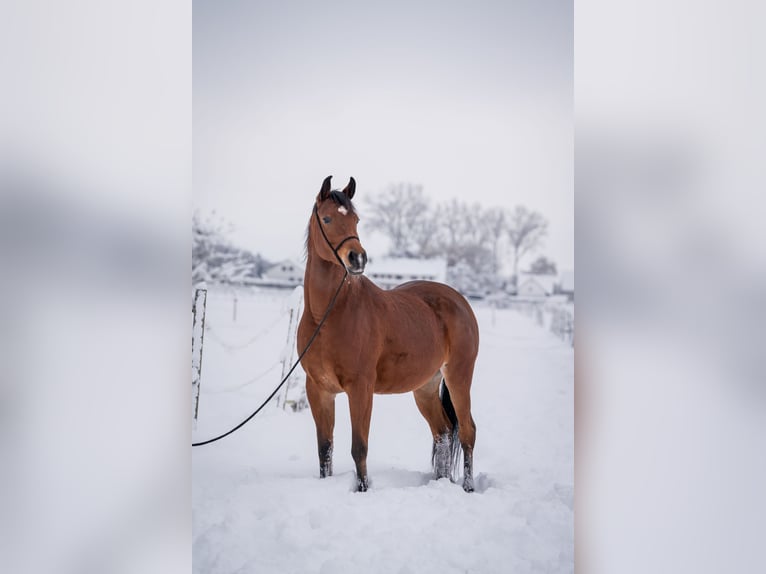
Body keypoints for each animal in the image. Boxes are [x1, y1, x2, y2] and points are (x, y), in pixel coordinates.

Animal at [298, 177, 480, 496]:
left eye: (356, 220)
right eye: (327, 218)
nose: (357, 258)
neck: (326, 316)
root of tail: (459, 301)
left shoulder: (360, 389)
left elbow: (359, 447)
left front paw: (362, 490)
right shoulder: (318, 390)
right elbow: (325, 449)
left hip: (459, 376)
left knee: (467, 430)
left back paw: (468, 488)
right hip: (425, 387)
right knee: (443, 432)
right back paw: (441, 481)